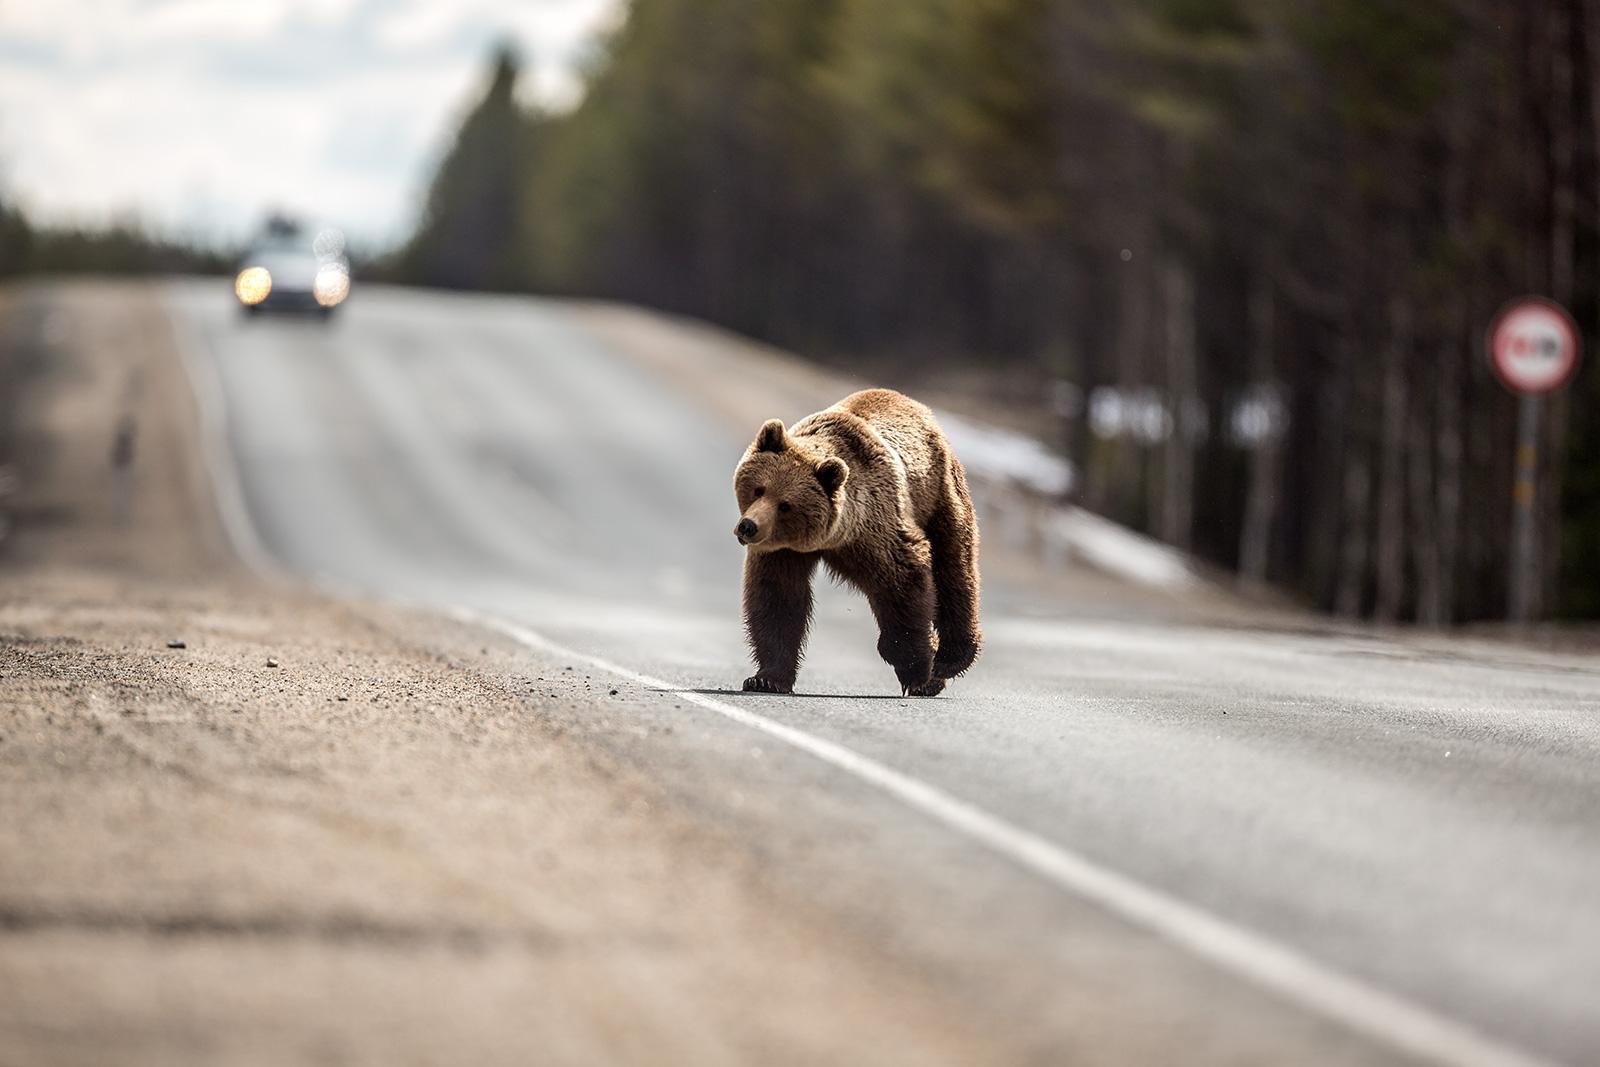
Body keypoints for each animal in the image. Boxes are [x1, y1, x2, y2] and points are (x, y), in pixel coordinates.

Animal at [732, 388, 979, 697]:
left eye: (785, 505)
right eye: (759, 489)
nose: (748, 526)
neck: (837, 535)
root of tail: (915, 404)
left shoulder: (879, 531)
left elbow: (903, 583)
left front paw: (918, 670)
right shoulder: (783, 550)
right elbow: (778, 598)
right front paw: (766, 678)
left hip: (939, 494)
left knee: (955, 570)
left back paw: (951, 659)